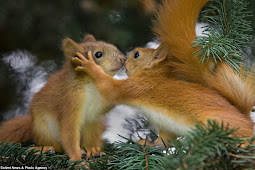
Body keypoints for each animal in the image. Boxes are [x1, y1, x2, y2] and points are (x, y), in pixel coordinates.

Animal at [71, 0, 255, 146]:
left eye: (136, 55)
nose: (123, 59)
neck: (153, 75)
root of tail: (246, 120)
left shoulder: (138, 86)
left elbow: (111, 88)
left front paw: (90, 65)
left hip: (219, 122)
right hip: (167, 126)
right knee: (164, 142)